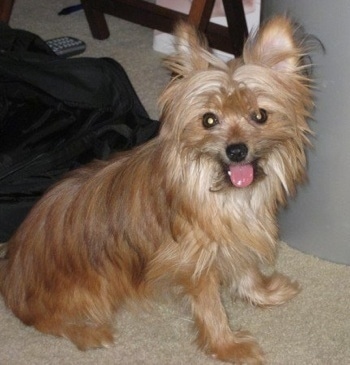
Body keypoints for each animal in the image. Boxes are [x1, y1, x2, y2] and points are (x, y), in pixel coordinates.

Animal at [0, 17, 314, 364]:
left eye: (259, 115)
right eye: (208, 120)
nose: (236, 150)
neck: (220, 193)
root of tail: (11, 275)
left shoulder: (234, 237)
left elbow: (245, 269)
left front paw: (263, 293)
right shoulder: (194, 263)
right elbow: (211, 308)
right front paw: (227, 346)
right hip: (93, 289)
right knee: (45, 319)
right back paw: (88, 332)